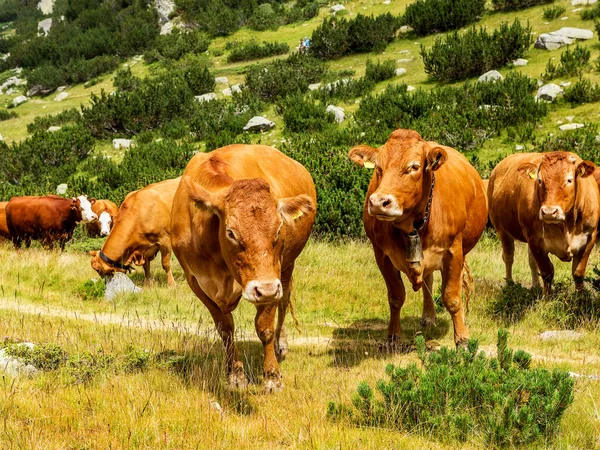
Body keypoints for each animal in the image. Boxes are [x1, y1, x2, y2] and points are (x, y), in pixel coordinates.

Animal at [171, 144, 316, 390]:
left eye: (279, 229)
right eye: (231, 232)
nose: (266, 289)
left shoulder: (271, 277)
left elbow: (265, 327)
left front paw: (272, 376)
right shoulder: (196, 282)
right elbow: (226, 329)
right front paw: (235, 374)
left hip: (287, 267)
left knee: (284, 301)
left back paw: (281, 344)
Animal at [350, 128, 490, 346]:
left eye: (414, 166)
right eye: (378, 167)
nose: (379, 202)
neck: (411, 227)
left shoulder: (453, 252)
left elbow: (452, 297)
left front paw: (462, 338)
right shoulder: (382, 254)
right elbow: (396, 296)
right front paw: (393, 336)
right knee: (428, 280)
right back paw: (428, 316)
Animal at [488, 151, 600, 294]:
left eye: (569, 180)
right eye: (540, 180)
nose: (549, 212)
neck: (566, 225)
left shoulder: (589, 238)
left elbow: (578, 273)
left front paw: (581, 296)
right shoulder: (535, 240)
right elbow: (547, 272)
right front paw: (547, 297)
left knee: (531, 261)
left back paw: (535, 285)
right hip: (502, 230)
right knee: (508, 256)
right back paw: (509, 284)